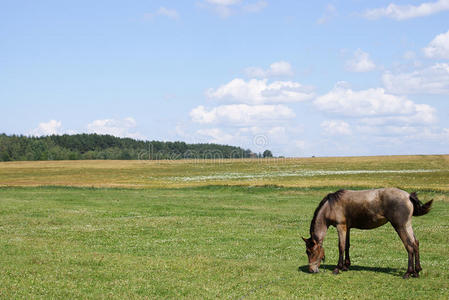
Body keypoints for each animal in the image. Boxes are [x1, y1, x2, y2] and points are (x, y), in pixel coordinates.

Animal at [302, 188, 432, 278]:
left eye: (310, 252)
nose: (311, 270)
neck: (331, 206)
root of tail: (408, 196)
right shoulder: (347, 227)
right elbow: (347, 246)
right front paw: (346, 266)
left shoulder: (341, 227)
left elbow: (341, 246)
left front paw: (337, 268)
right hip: (407, 226)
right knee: (415, 243)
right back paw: (417, 271)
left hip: (400, 226)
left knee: (409, 246)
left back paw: (408, 273)